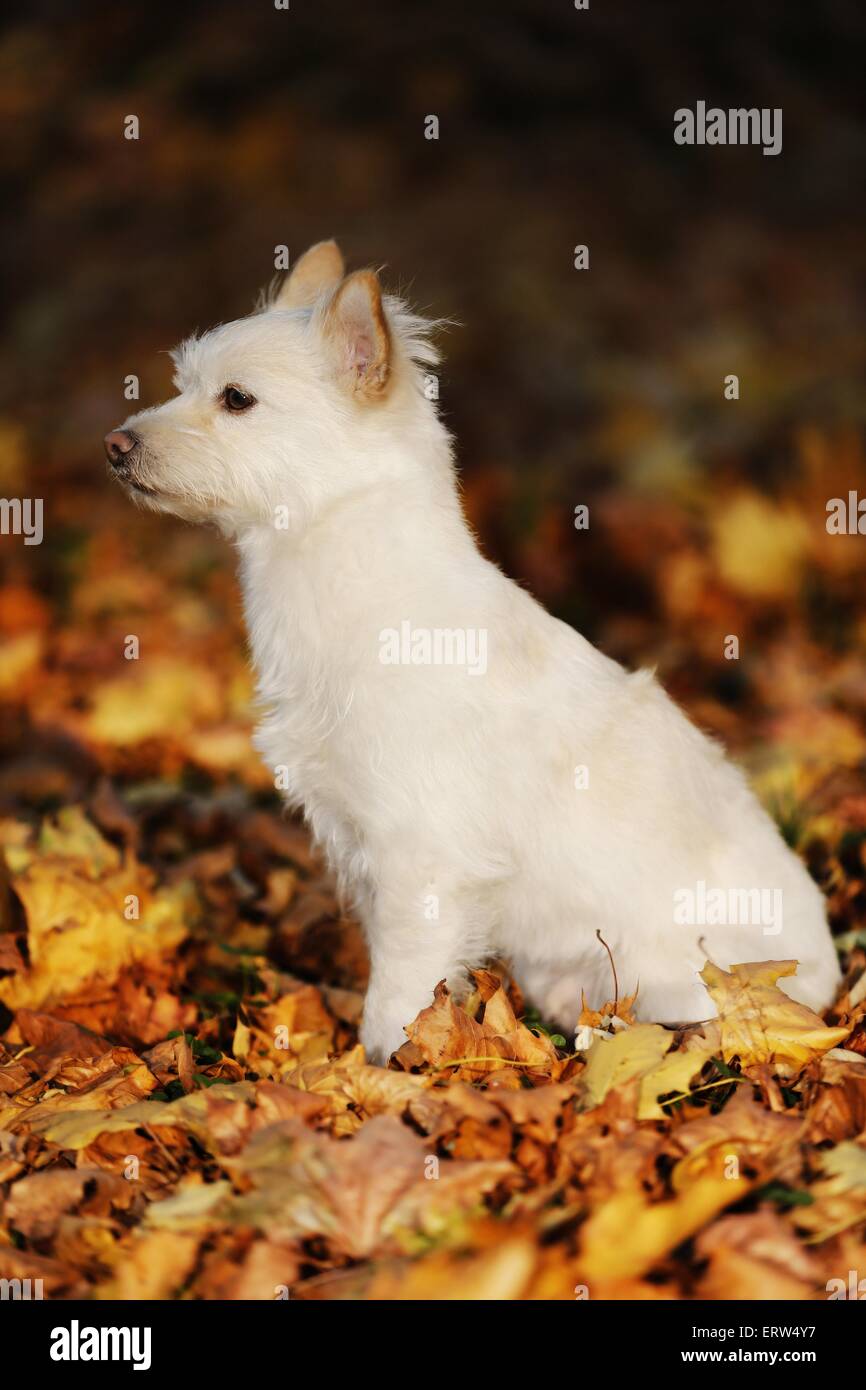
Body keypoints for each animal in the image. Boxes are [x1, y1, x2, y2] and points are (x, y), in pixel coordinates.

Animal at [104, 241, 845, 1061]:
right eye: (182, 385)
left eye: (236, 399)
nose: (115, 444)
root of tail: (826, 985)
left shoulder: (421, 859)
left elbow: (398, 990)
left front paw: (391, 1065)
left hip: (673, 980)